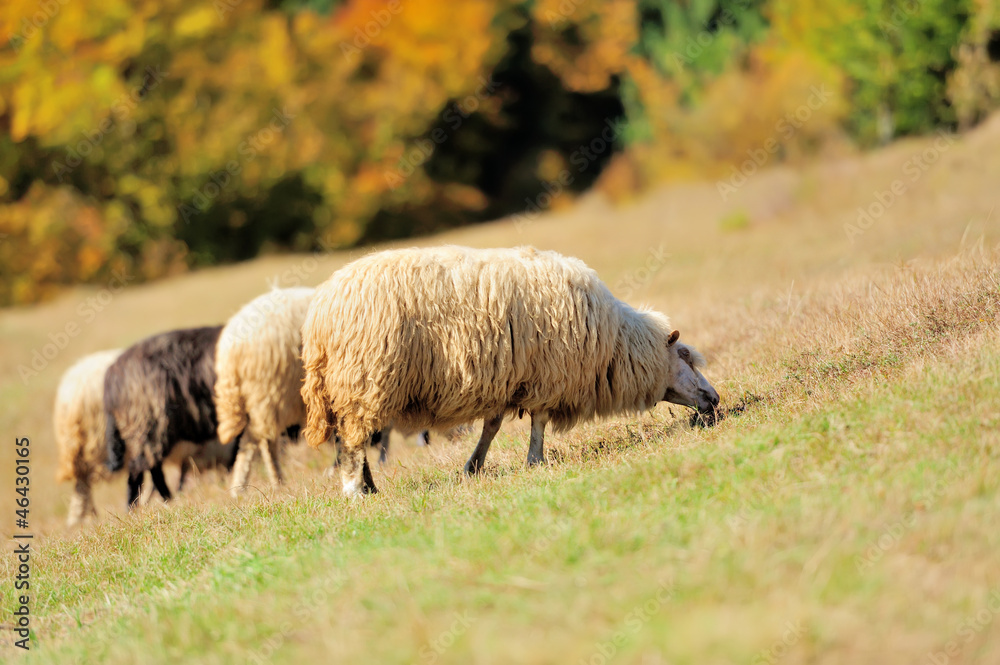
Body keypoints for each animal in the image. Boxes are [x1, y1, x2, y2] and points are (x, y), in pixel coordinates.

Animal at [296, 246, 720, 496]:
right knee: (353, 440)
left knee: (352, 438)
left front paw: (474, 466)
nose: (714, 399)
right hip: (364, 379)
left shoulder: (507, 380)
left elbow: (492, 425)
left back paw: (369, 486)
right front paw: (535, 460)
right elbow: (539, 422)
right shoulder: (549, 376)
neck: (613, 342)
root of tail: (320, 314)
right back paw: (356, 491)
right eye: (685, 355)